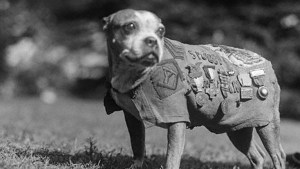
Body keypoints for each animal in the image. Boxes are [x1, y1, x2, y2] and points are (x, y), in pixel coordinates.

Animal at [102, 9, 286, 169]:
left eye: (161, 30)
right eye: (130, 26)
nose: (152, 40)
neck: (134, 74)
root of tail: (264, 61)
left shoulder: (177, 120)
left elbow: (171, 158)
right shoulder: (132, 118)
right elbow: (138, 146)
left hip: (268, 124)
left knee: (278, 155)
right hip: (237, 127)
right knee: (257, 156)